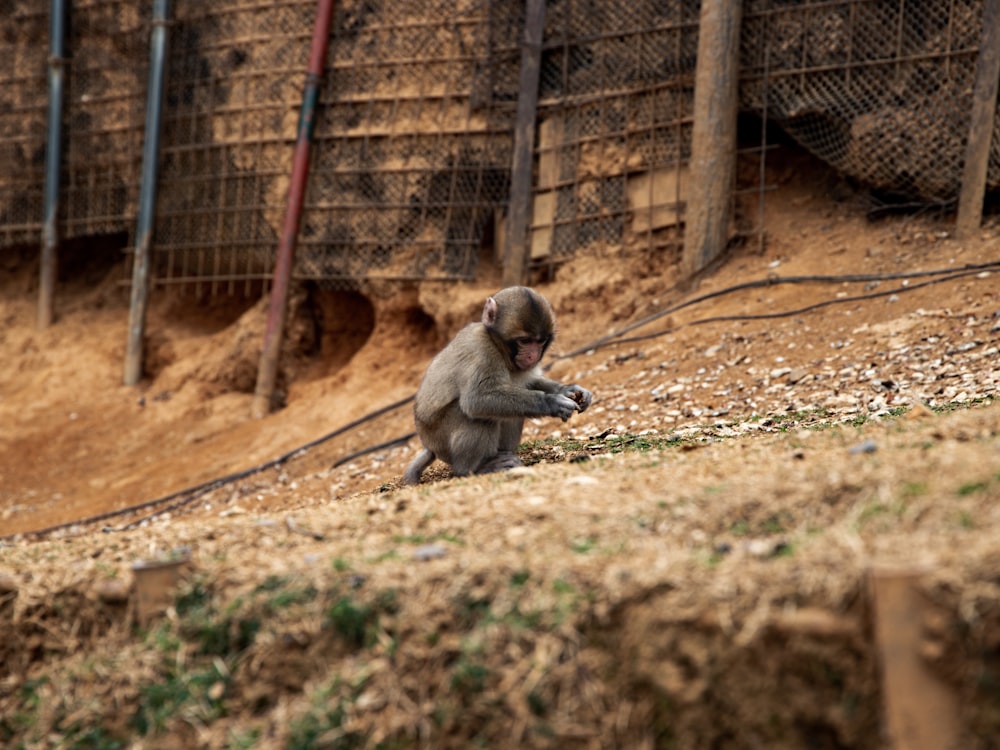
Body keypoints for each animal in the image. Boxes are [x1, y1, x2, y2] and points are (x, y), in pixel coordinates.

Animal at [402, 284, 592, 484]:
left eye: (540, 341)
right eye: (524, 341)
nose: (532, 356)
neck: (498, 346)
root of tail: (429, 445)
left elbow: (528, 383)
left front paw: (569, 390)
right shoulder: (482, 352)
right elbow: (476, 400)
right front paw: (552, 402)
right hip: (441, 440)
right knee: (476, 416)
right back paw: (474, 469)